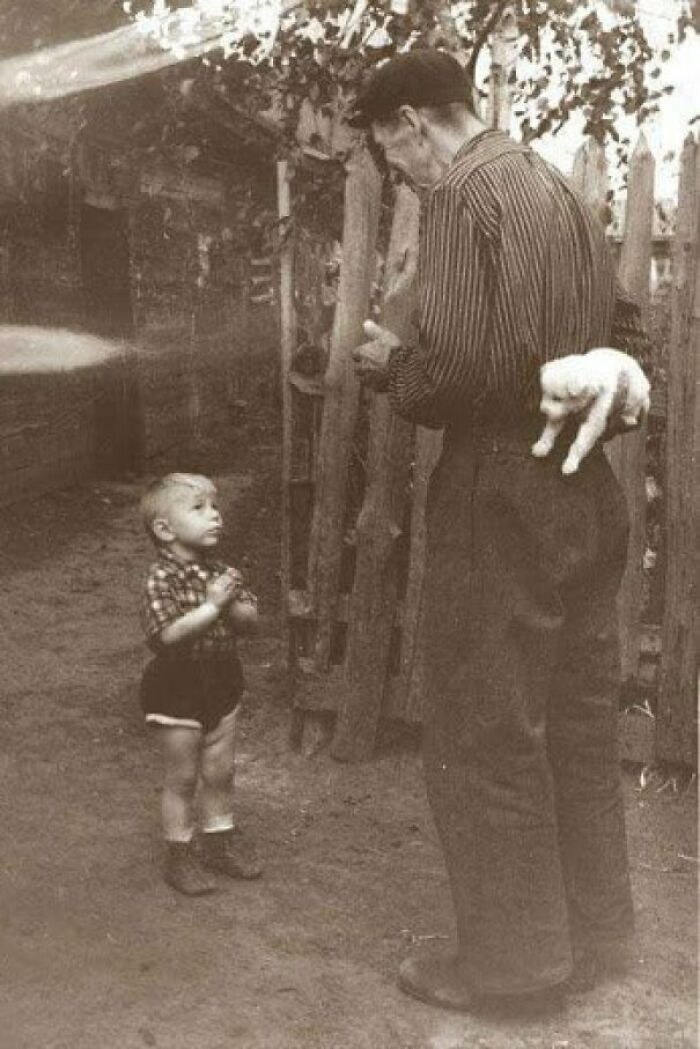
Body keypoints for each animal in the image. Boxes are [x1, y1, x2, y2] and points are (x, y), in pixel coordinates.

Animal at [537, 348, 650, 476]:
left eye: (557, 398)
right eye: (544, 394)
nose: (542, 411)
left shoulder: (594, 419)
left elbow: (580, 442)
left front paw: (571, 462)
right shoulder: (560, 412)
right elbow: (549, 430)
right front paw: (542, 445)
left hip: (635, 390)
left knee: (634, 406)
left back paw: (629, 417)